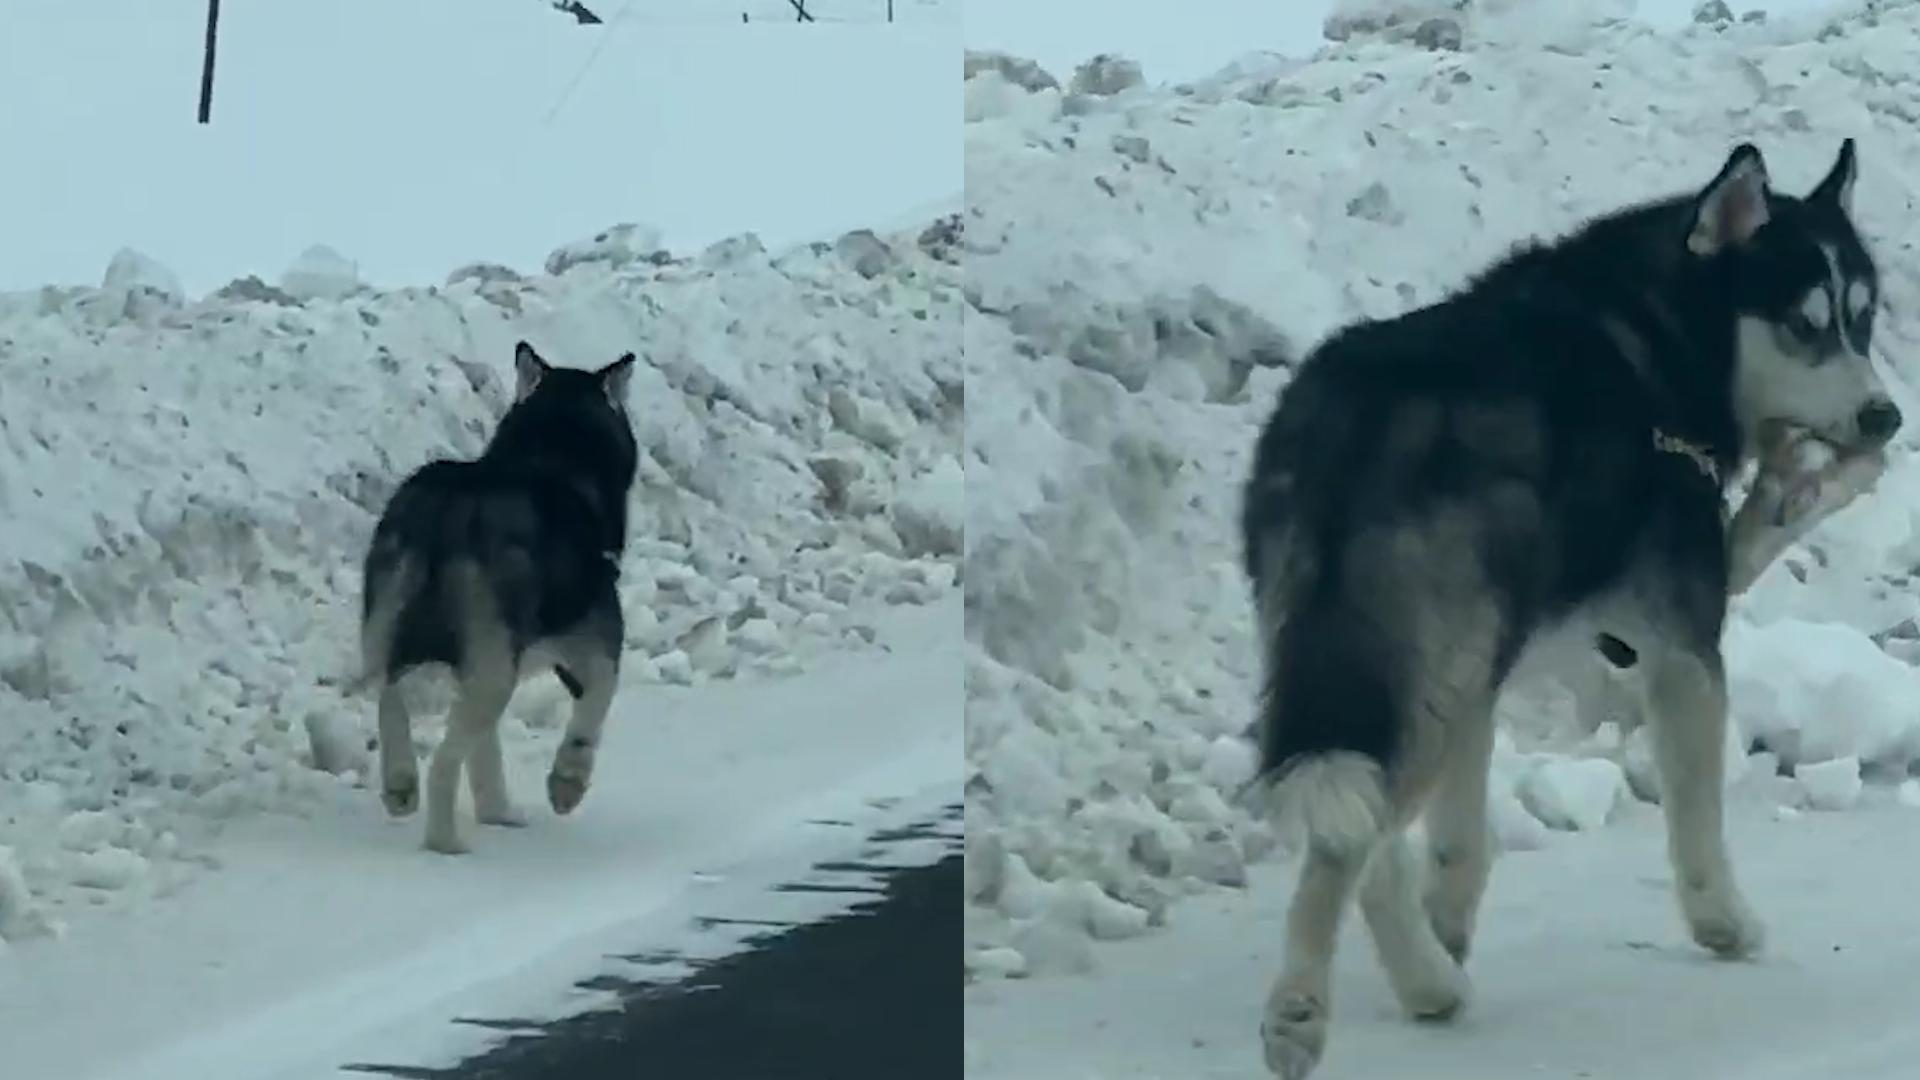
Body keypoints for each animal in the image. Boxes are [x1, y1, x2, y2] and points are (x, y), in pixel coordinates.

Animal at [362, 340, 648, 853]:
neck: (555, 454)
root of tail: (447, 509)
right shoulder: (594, 644)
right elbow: (591, 714)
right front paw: (566, 784)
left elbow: (487, 749)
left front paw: (498, 810)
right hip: (495, 667)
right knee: (443, 760)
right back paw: (444, 841)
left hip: (394, 629)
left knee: (390, 702)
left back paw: (400, 785)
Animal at [1244, 138, 1889, 1068]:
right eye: (1805, 324)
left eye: (1863, 320)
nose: (1885, 416)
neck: (1666, 332)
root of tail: (1358, 429)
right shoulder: (1679, 639)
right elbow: (1697, 817)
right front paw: (1723, 922)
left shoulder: (1533, 657)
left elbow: (1459, 843)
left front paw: (1449, 925)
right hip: (1422, 670)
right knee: (1347, 840)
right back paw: (1307, 1009)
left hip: (1396, 666)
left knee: (1367, 832)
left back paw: (1429, 980)